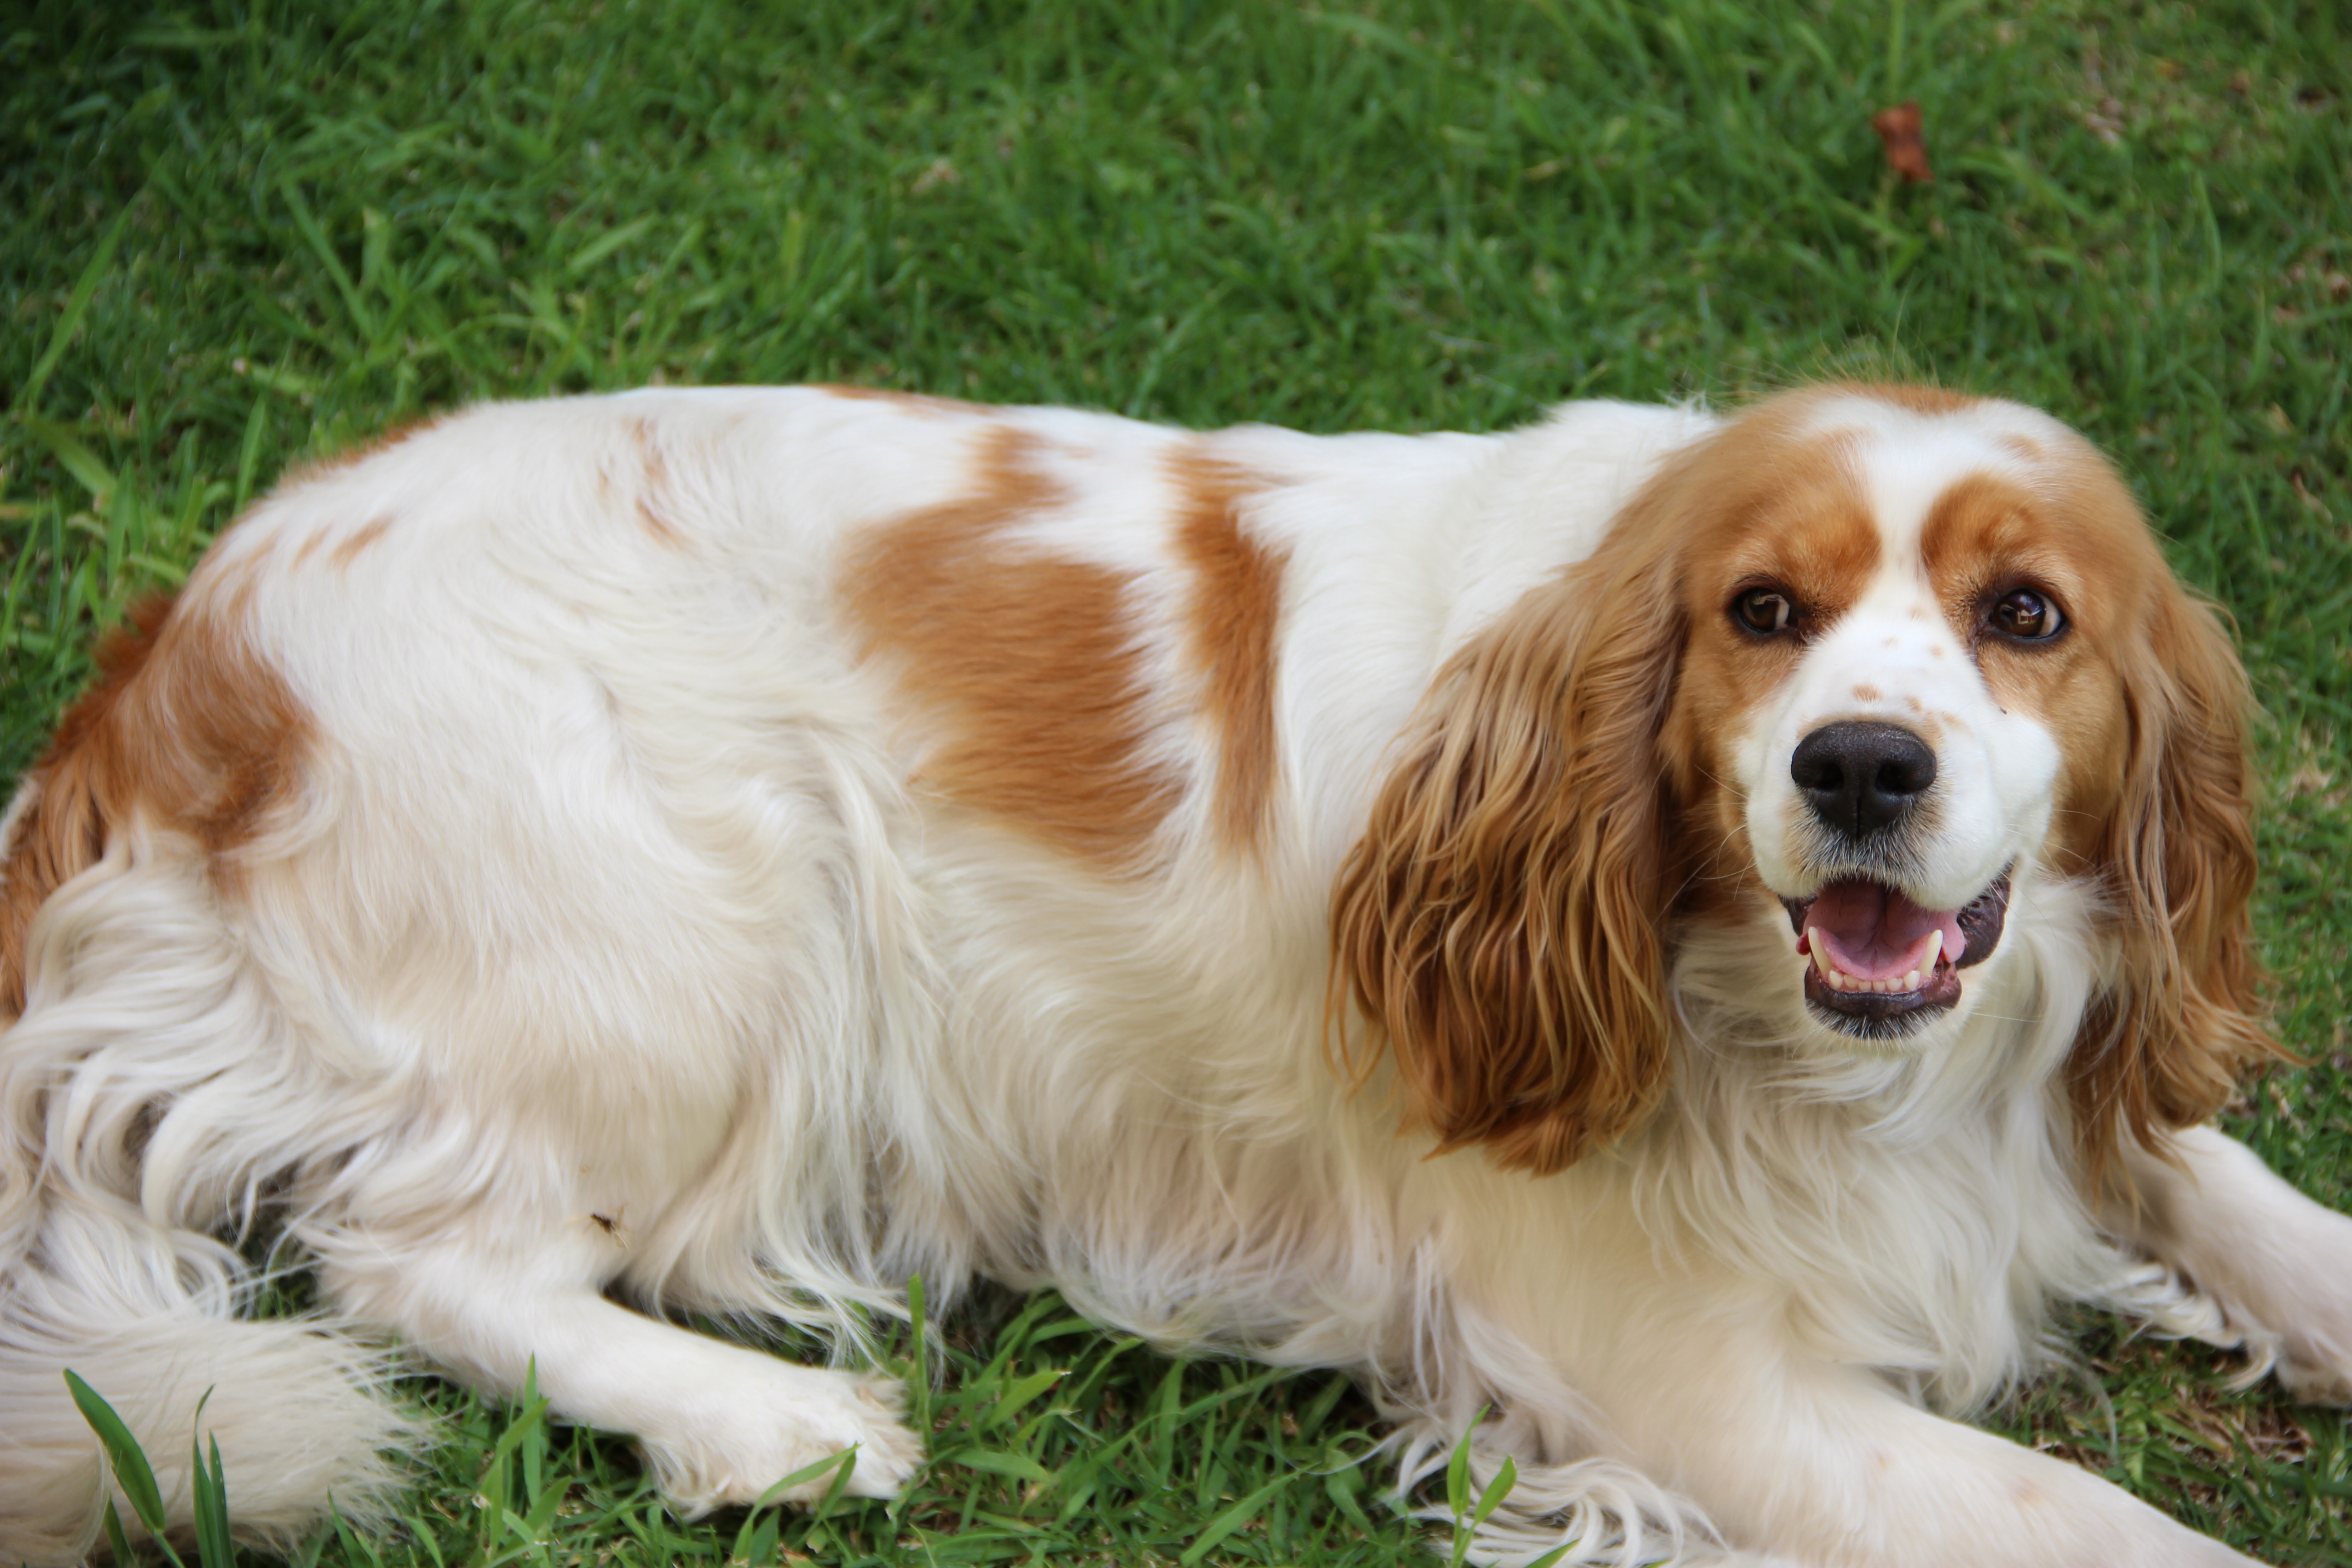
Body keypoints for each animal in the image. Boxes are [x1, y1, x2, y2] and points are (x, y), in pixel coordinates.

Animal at [5, 383, 2352, 1568]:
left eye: (2027, 617)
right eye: (1761, 611)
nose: (1861, 764)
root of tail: (177, 649)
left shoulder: (2057, 1061)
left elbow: (2207, 1167)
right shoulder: (1683, 1375)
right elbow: (2105, 1528)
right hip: (698, 929)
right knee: (425, 1265)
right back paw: (772, 1423)